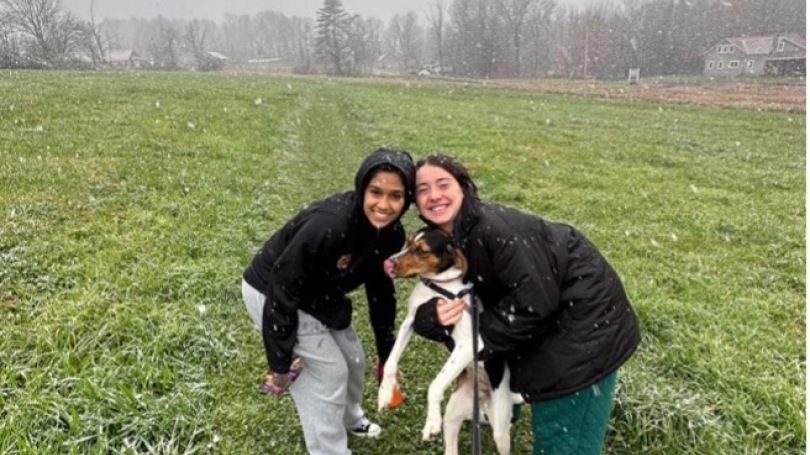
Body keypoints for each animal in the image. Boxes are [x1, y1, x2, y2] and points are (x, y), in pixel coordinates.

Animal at [378, 228, 520, 455]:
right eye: (407, 242)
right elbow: (391, 362)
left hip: (500, 431)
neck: (437, 287)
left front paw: (431, 422)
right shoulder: (410, 321)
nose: (388, 263)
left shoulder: (469, 344)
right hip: (452, 416)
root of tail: (481, 400)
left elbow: (435, 385)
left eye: (422, 251)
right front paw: (385, 393)